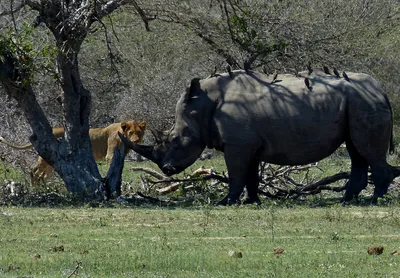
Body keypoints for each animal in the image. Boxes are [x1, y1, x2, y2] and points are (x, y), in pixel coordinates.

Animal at [0, 120, 147, 184]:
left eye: (139, 133)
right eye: (131, 132)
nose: (136, 140)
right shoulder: (110, 155)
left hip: (52, 162)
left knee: (43, 175)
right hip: (45, 158)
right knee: (34, 172)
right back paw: (35, 188)